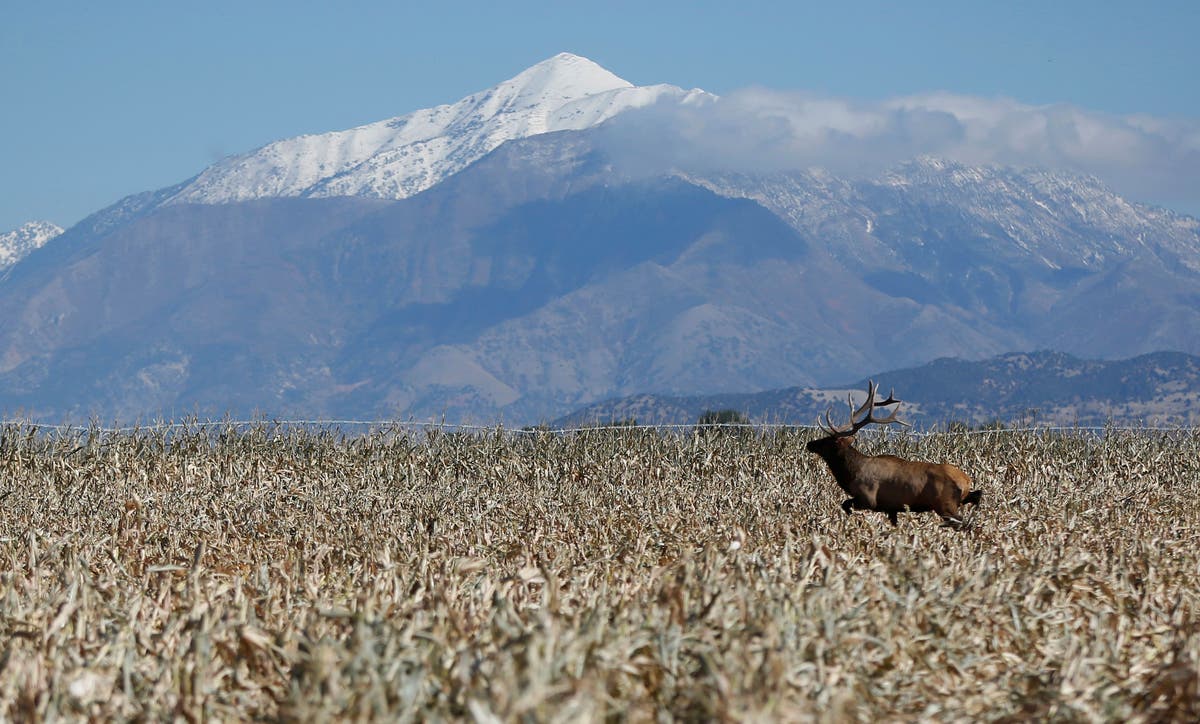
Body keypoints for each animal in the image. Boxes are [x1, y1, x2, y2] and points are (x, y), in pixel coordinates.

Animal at [806, 384, 984, 525]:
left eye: (827, 441)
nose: (809, 444)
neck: (851, 475)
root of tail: (966, 481)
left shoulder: (868, 499)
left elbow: (845, 504)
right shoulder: (892, 508)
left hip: (945, 505)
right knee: (976, 496)